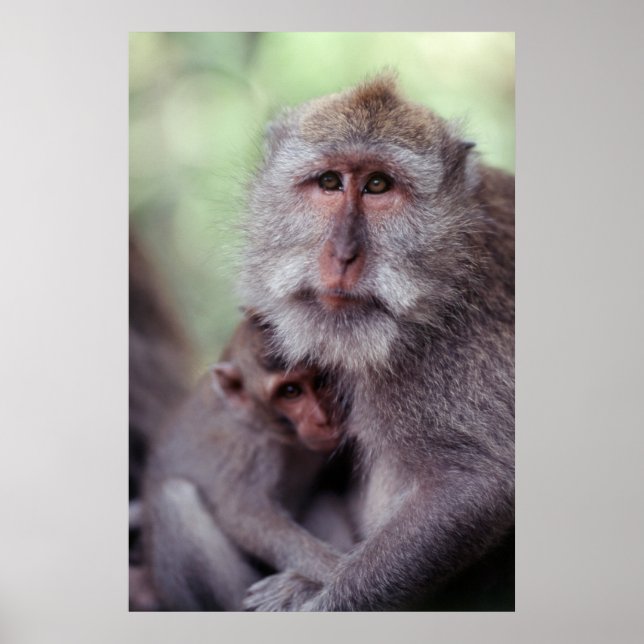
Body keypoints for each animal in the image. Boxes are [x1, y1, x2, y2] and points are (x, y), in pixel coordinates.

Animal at [144, 314, 354, 611]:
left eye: (321, 380)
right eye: (291, 391)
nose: (323, 419)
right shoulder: (248, 447)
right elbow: (246, 516)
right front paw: (337, 571)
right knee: (174, 497)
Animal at [239, 74, 515, 611]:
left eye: (378, 185)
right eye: (330, 183)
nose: (343, 255)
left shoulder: (450, 358)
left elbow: (476, 487)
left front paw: (316, 599)